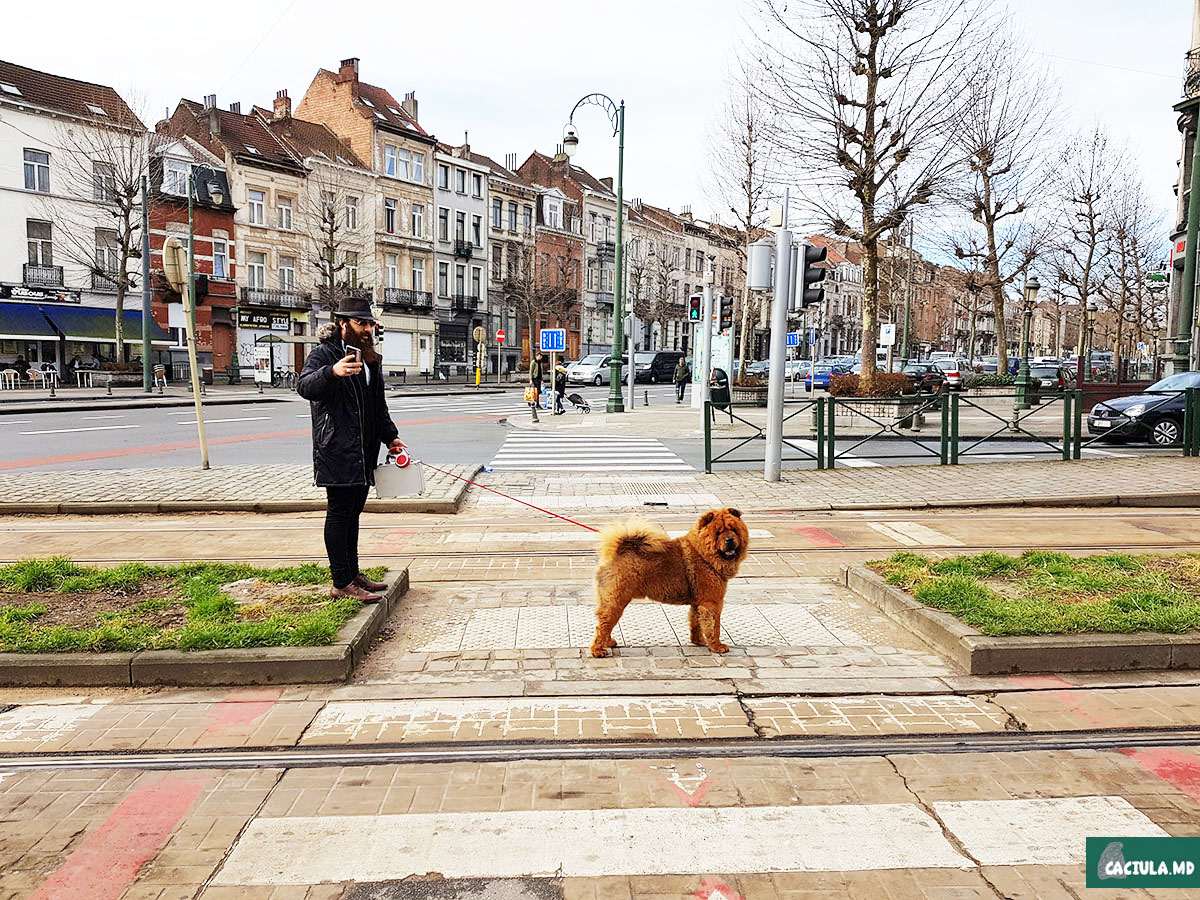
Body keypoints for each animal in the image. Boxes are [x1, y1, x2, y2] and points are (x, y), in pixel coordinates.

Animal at [592, 508, 748, 662]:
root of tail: (618, 551)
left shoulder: (697, 602)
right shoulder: (712, 602)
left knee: (604, 624)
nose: (729, 539)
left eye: (733, 530)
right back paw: (598, 651)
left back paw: (609, 642)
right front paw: (718, 647)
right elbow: (714, 627)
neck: (703, 555)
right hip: (616, 600)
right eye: (718, 533)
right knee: (603, 625)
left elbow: (696, 622)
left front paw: (698, 641)